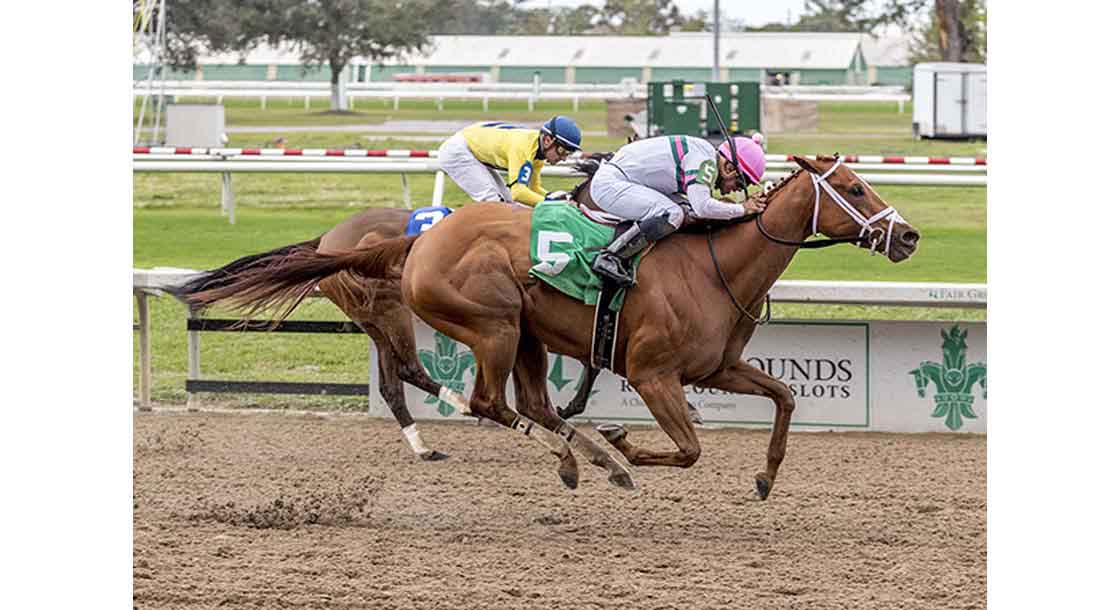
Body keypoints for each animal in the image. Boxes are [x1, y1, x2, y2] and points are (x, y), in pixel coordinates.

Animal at [181, 153, 918, 499]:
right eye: (855, 189)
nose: (908, 236)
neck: (715, 266)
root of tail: (416, 241)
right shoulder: (653, 375)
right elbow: (687, 449)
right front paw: (625, 445)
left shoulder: (716, 368)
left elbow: (786, 396)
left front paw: (765, 478)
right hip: (490, 324)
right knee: (484, 400)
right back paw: (578, 456)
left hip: (524, 335)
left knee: (527, 403)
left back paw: (584, 456)